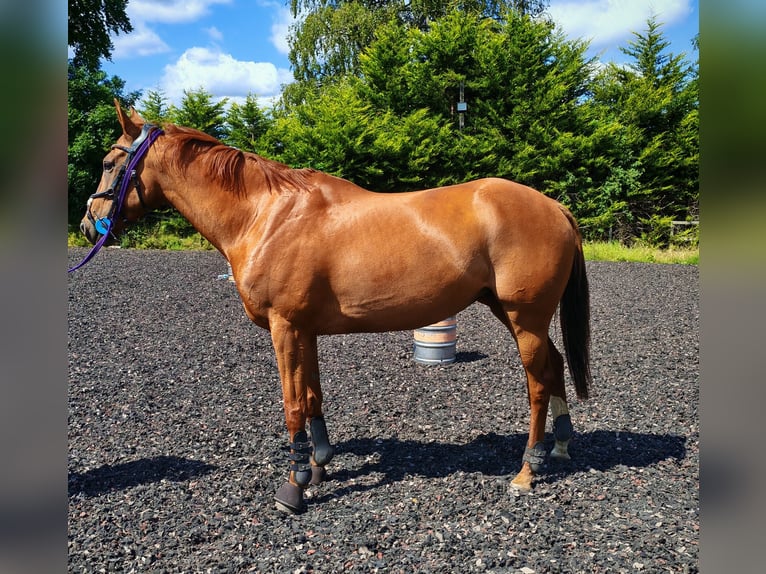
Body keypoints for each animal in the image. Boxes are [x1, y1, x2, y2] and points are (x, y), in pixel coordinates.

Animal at [75, 100, 592, 514]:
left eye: (109, 162)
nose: (86, 224)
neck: (266, 215)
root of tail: (554, 207)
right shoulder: (303, 329)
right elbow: (312, 397)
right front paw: (319, 465)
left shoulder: (284, 327)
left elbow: (291, 405)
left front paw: (293, 487)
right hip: (512, 313)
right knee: (554, 364)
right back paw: (561, 447)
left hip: (524, 317)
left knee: (537, 383)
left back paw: (527, 470)